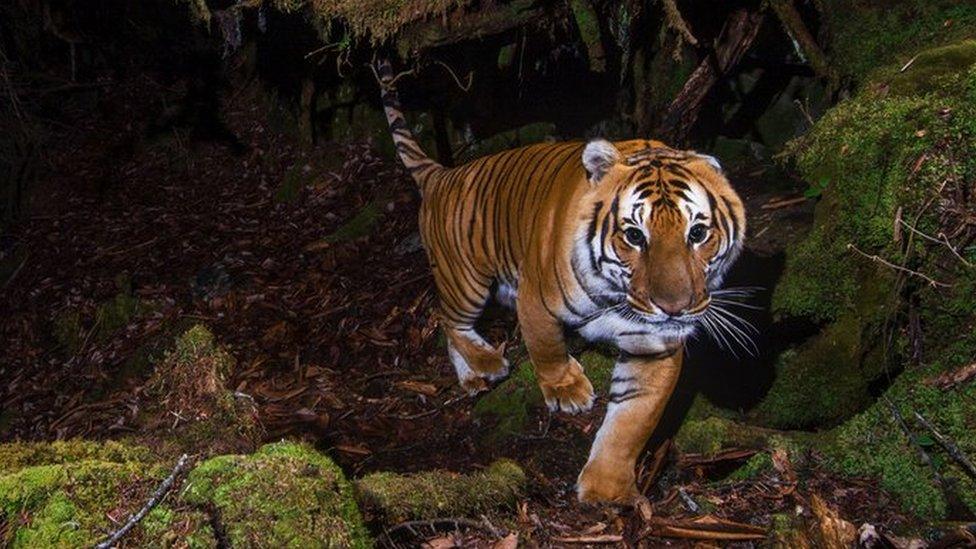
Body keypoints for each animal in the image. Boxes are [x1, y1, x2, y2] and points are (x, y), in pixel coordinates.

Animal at [374, 58, 748, 500]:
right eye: (634, 236)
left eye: (698, 233)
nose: (674, 309)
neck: (617, 295)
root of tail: (441, 175)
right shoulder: (536, 299)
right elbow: (546, 347)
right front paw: (567, 391)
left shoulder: (655, 344)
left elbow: (634, 418)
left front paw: (606, 489)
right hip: (467, 280)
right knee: (446, 317)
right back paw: (487, 361)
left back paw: (472, 376)